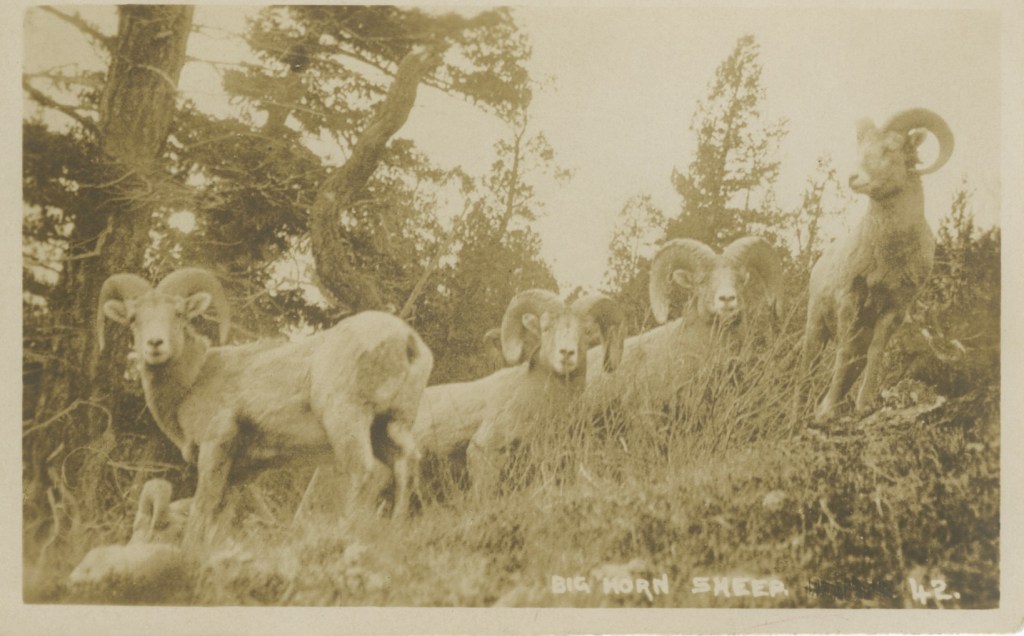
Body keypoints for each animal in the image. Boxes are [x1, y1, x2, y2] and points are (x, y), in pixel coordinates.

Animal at [97, 267, 433, 547]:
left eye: (178, 314)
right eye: (133, 318)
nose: (155, 344)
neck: (194, 379)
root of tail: (405, 341)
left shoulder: (215, 447)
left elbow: (203, 506)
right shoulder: (240, 473)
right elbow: (220, 517)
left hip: (348, 421)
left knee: (366, 473)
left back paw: (346, 532)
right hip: (391, 426)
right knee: (406, 466)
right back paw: (395, 532)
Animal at [801, 108, 954, 423]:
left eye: (890, 149)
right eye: (861, 149)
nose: (854, 178)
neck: (888, 255)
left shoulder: (893, 310)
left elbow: (874, 354)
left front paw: (863, 406)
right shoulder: (850, 300)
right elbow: (843, 352)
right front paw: (828, 412)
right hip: (816, 326)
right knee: (809, 365)